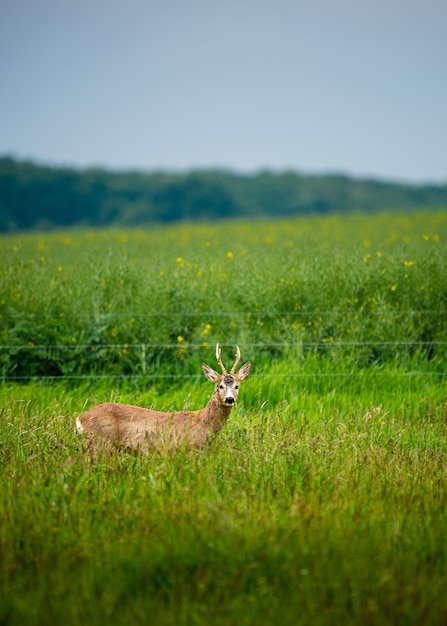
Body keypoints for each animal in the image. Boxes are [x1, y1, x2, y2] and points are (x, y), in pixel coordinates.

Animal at [77, 342, 252, 454]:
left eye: (237, 386)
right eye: (220, 386)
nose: (229, 399)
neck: (202, 422)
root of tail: (80, 418)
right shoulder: (185, 449)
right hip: (101, 443)